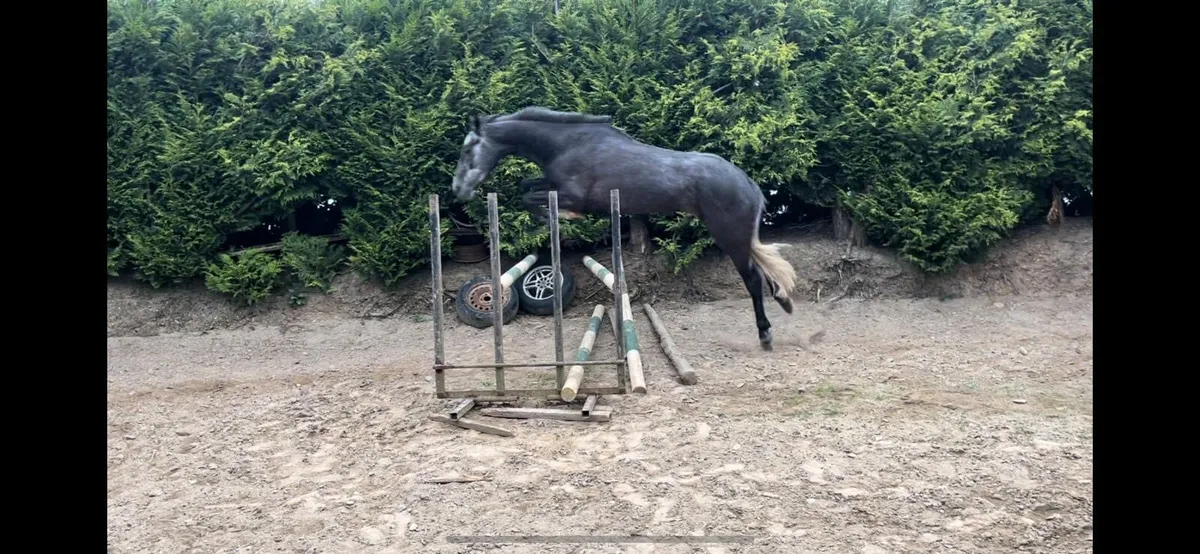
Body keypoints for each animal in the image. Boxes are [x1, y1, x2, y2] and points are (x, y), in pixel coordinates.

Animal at [449, 106, 798, 351]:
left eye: (467, 150)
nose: (458, 190)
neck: (565, 145)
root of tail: (747, 183)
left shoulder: (575, 194)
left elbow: (529, 197)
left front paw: (563, 217)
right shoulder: (551, 183)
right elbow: (526, 187)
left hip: (729, 236)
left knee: (752, 279)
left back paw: (766, 334)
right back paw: (784, 303)